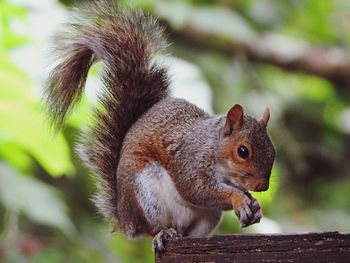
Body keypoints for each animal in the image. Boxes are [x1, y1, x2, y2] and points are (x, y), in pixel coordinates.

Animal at [43, 0, 274, 254]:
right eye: (243, 151)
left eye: (273, 151)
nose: (262, 186)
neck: (215, 150)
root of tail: (125, 220)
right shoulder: (190, 161)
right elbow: (197, 190)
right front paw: (240, 198)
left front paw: (254, 204)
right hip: (146, 195)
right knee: (152, 228)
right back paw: (163, 233)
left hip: (206, 217)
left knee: (191, 233)